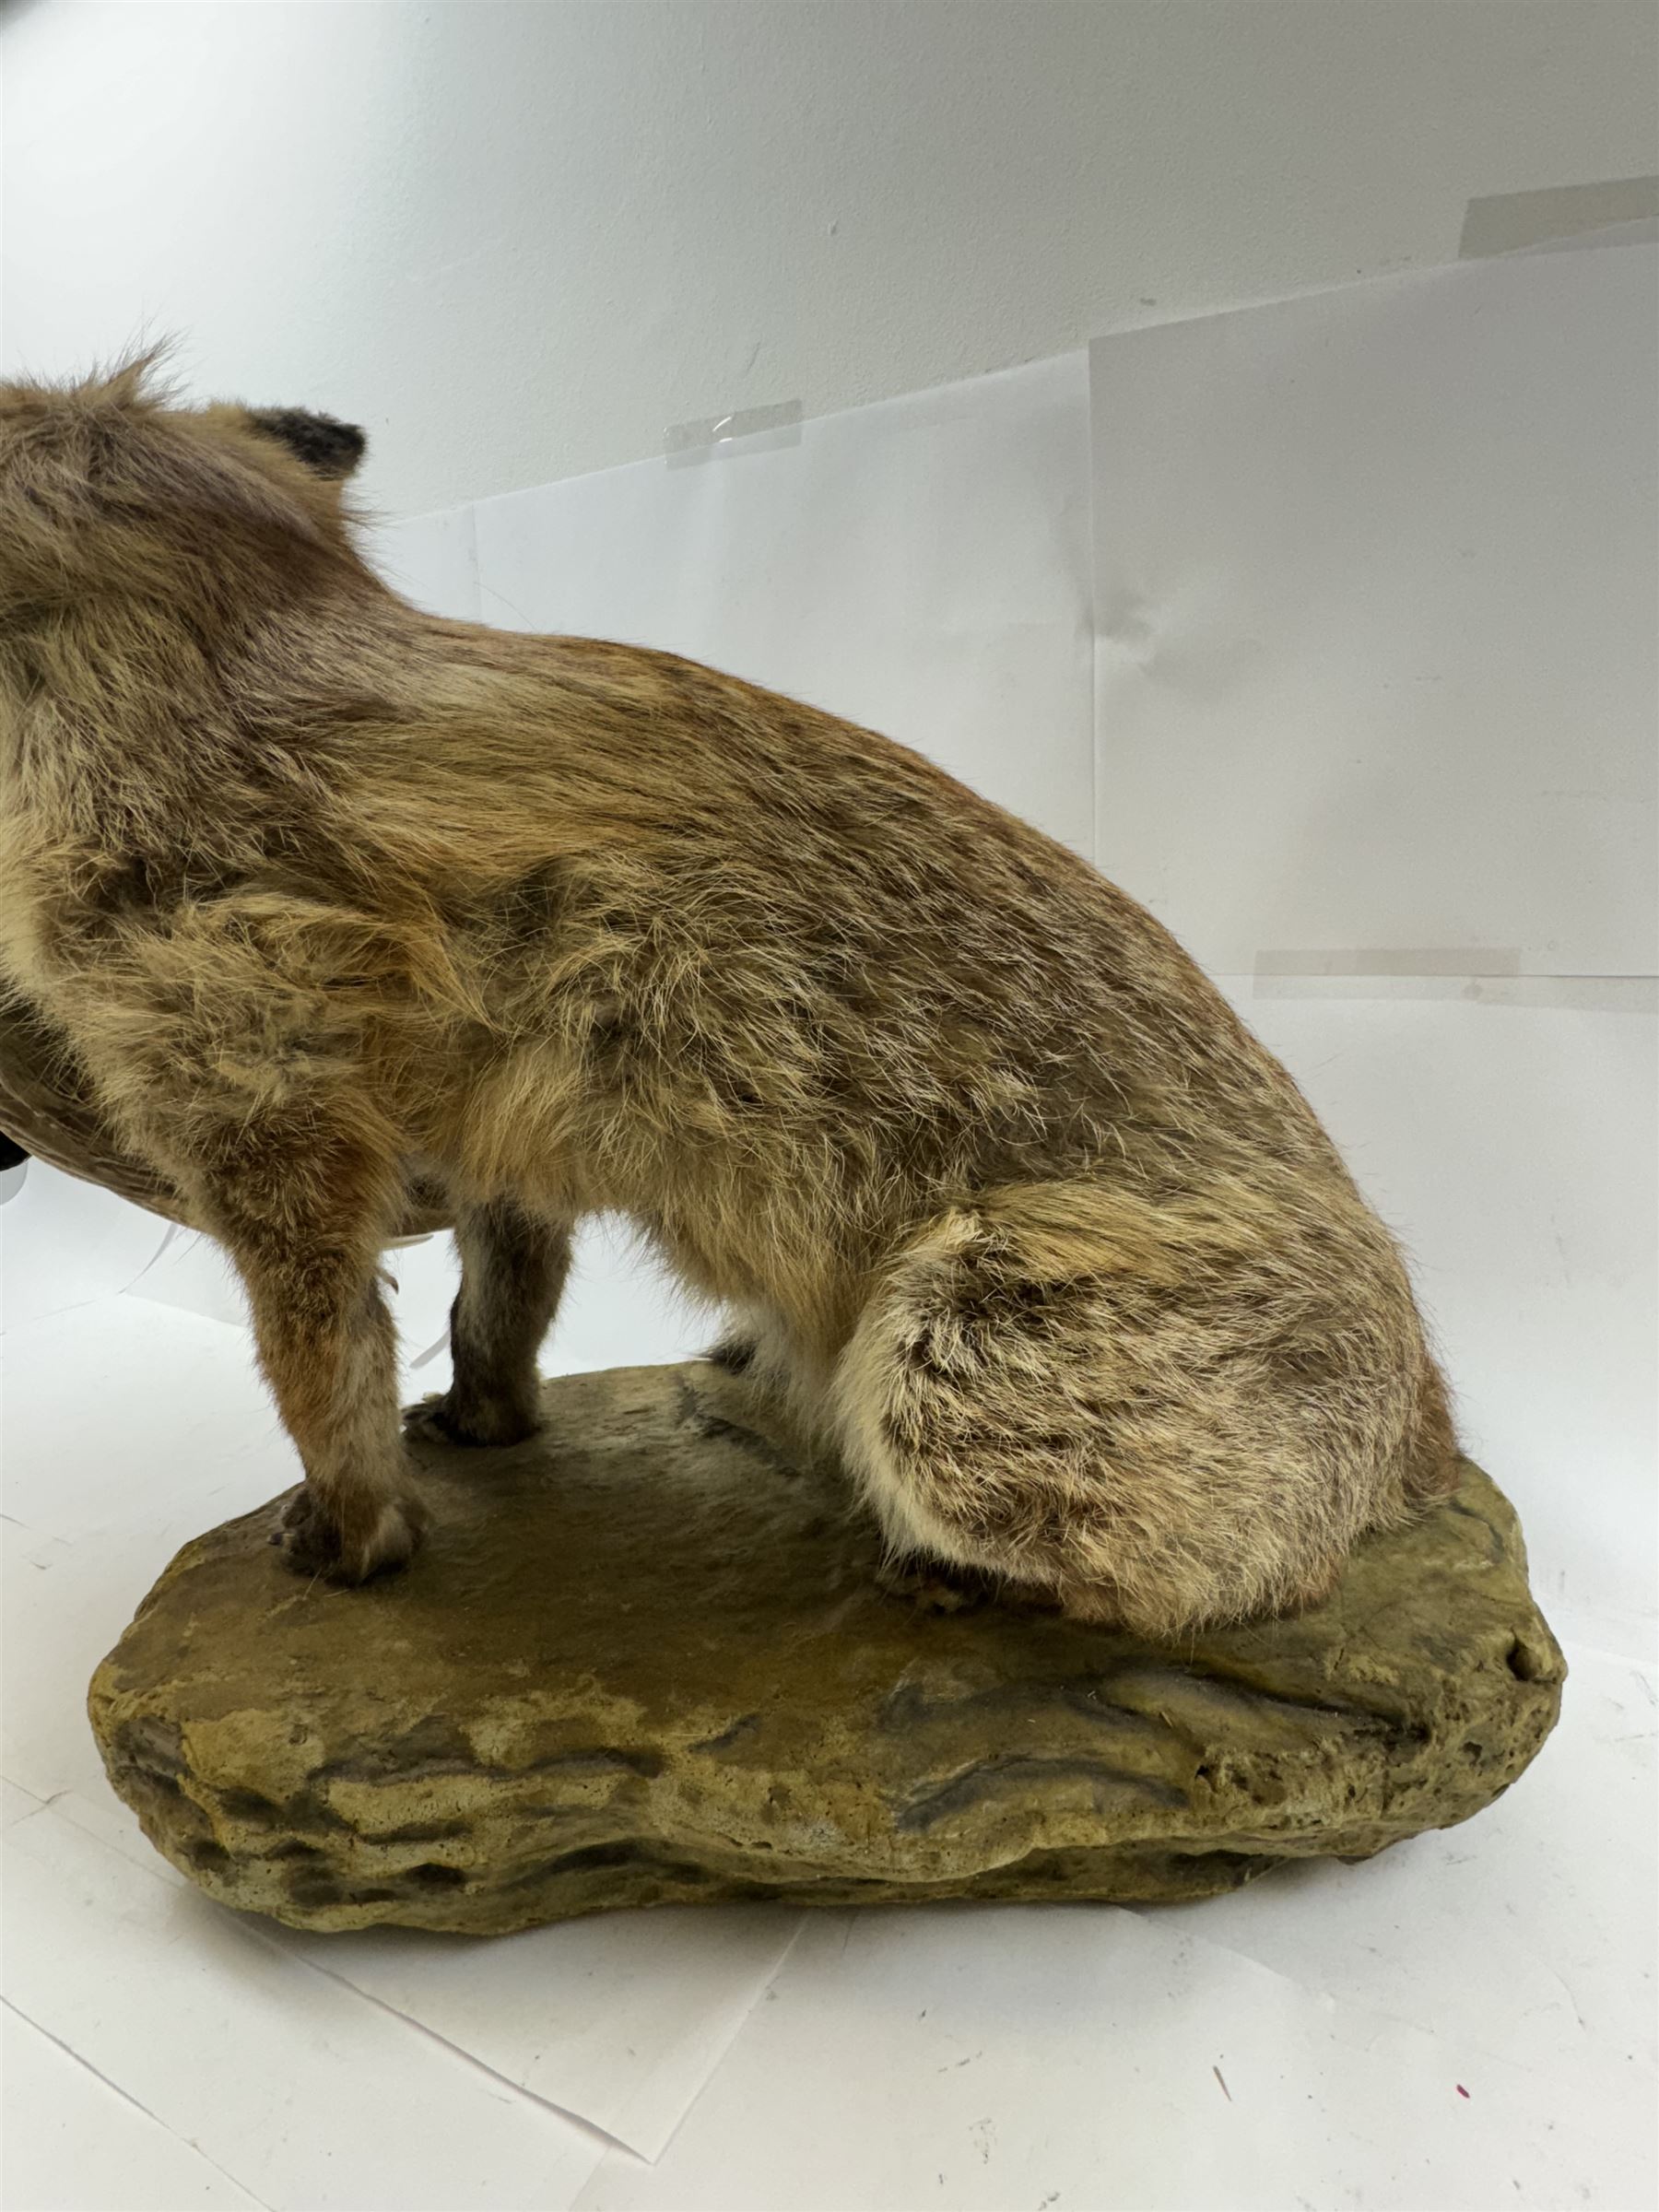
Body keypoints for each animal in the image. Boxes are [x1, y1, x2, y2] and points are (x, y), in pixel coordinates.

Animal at [0, 357, 1458, 1635]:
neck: (193, 661)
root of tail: (1425, 1426)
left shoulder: (254, 1097)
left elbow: (323, 1378)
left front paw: (357, 1535)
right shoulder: (486, 1127)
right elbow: (498, 1309)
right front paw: (484, 1426)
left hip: (953, 1361)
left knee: (1216, 1588)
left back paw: (941, 1571)